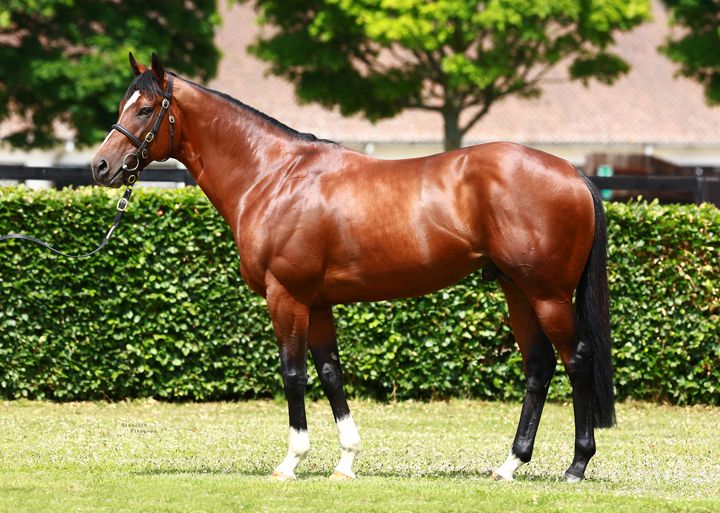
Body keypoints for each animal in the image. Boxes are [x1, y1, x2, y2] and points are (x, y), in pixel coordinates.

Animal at [91, 53, 615, 482]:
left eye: (145, 109)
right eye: (123, 104)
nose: (101, 166)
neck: (272, 176)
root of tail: (573, 172)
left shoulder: (287, 297)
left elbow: (293, 374)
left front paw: (290, 462)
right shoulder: (318, 303)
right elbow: (331, 374)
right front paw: (345, 462)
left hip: (546, 294)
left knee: (577, 359)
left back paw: (576, 465)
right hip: (516, 290)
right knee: (539, 366)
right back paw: (509, 465)